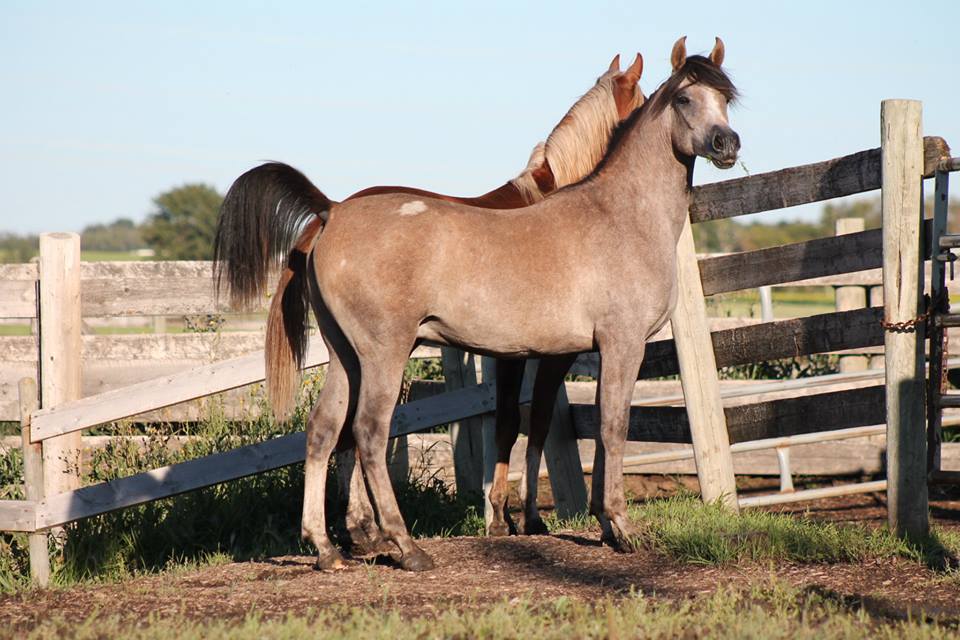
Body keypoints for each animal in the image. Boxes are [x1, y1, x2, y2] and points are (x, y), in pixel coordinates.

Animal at [217, 36, 739, 572]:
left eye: (726, 99)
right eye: (683, 98)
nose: (727, 144)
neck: (621, 214)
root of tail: (332, 211)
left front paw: (594, 525)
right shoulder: (619, 345)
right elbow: (611, 427)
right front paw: (619, 527)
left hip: (347, 356)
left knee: (324, 430)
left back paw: (328, 549)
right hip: (384, 354)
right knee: (367, 433)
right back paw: (404, 546)